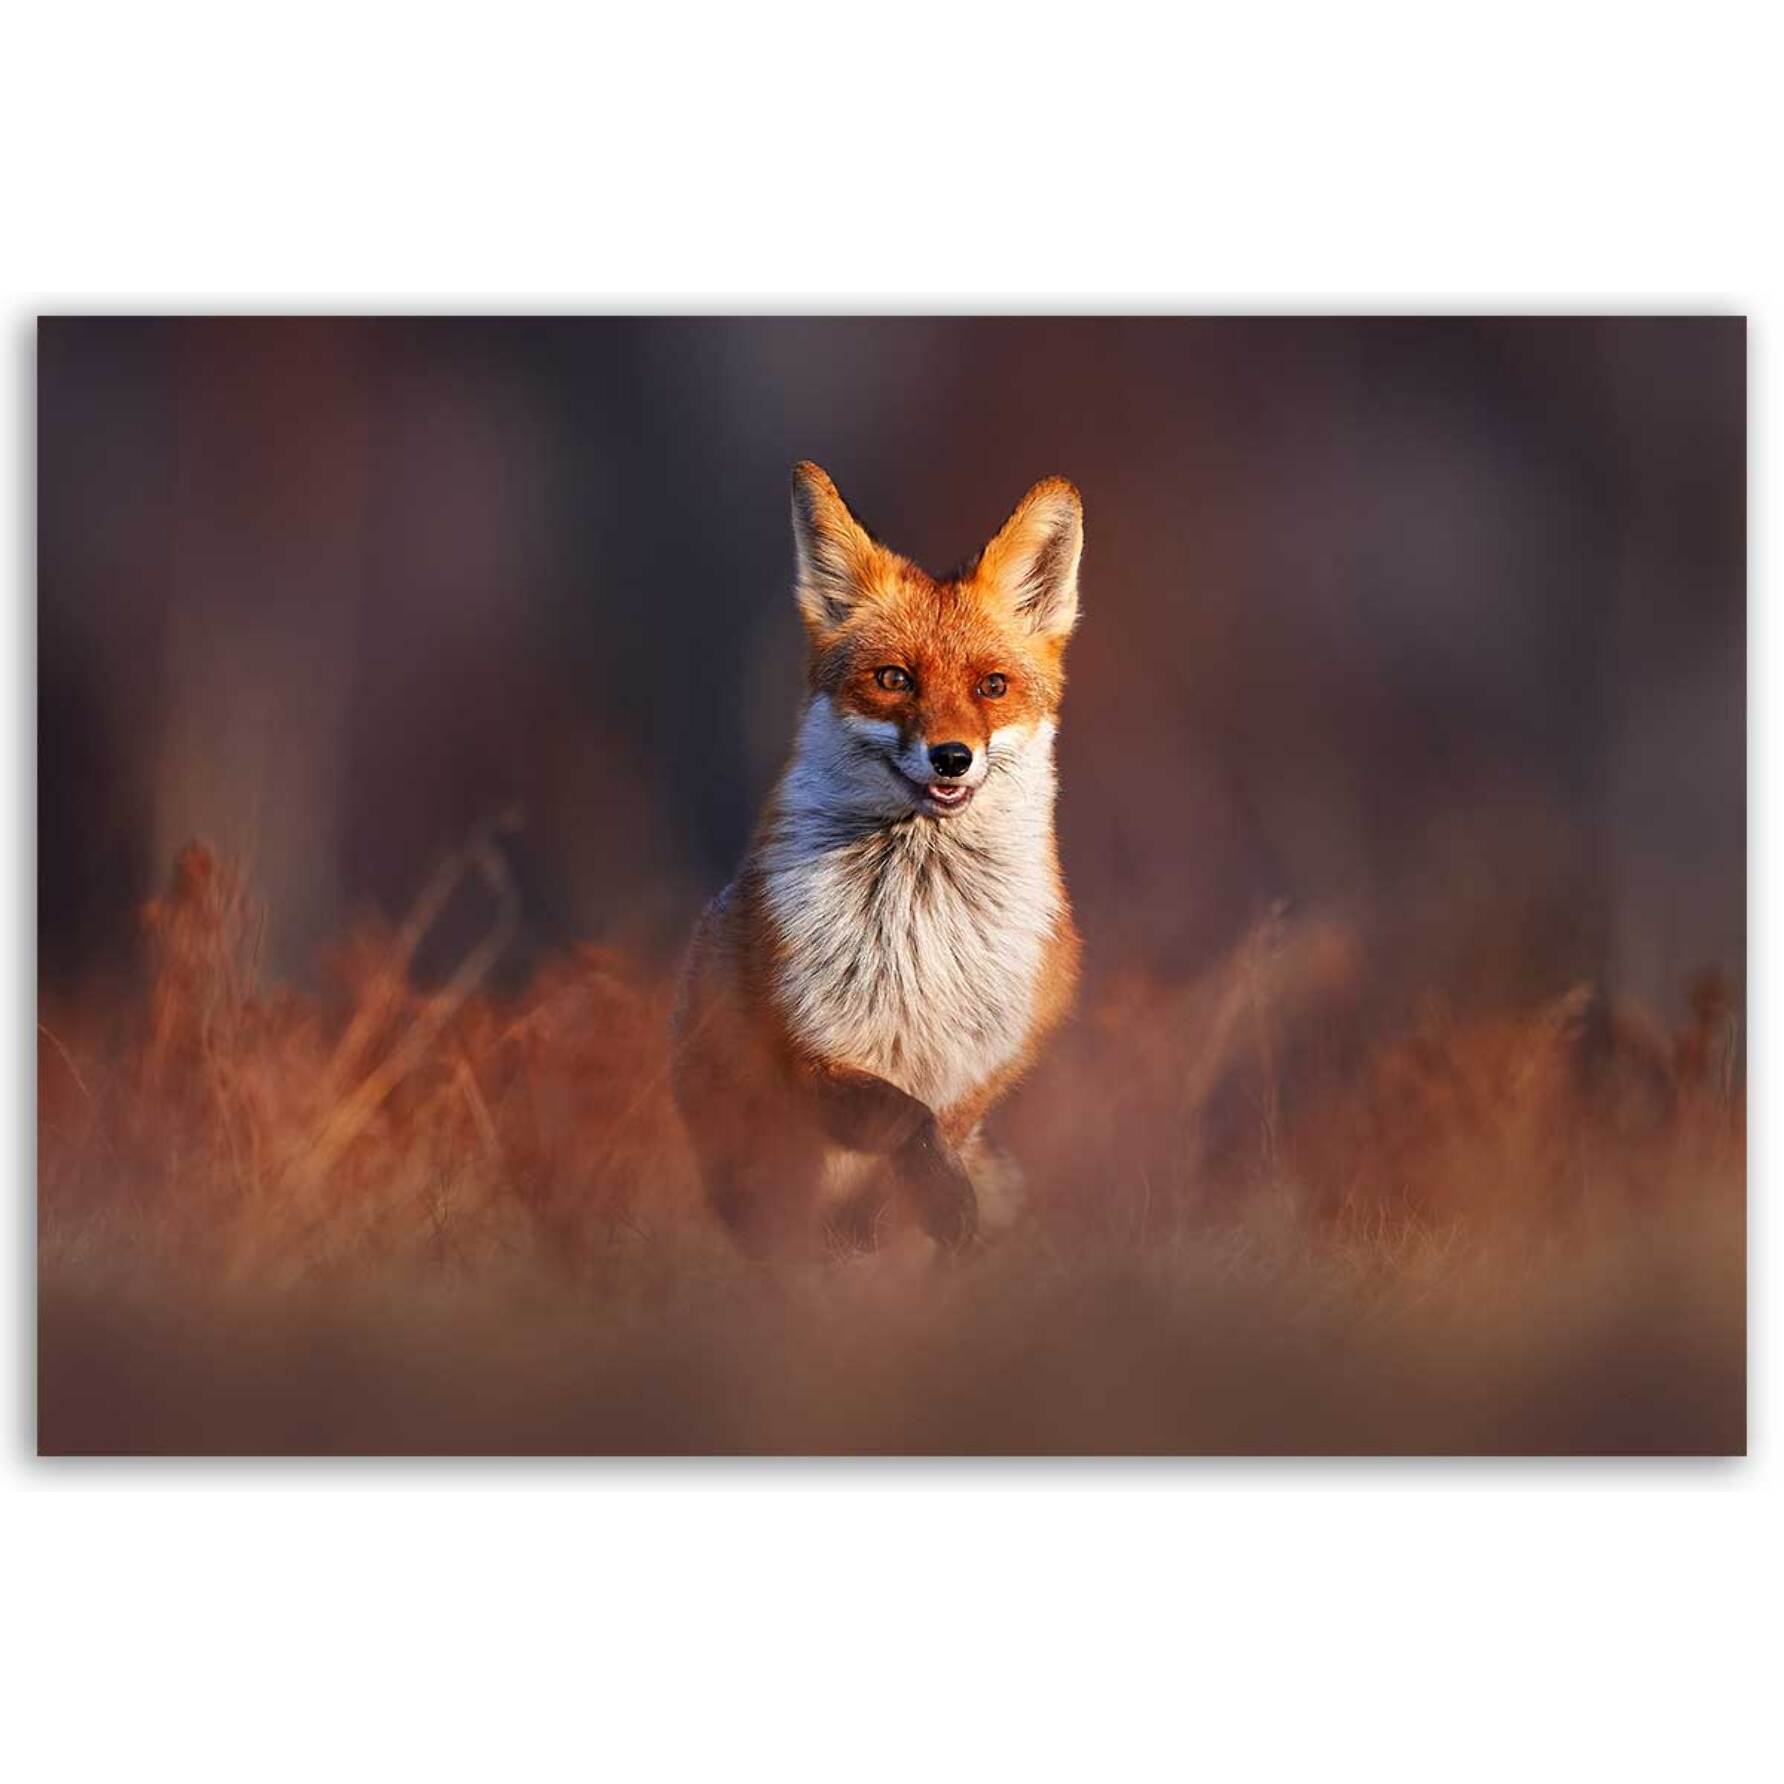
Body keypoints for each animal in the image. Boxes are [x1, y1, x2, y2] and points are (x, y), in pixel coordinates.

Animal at [670, 462, 1084, 1255]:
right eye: (894, 679)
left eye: (992, 686)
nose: (952, 757)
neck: (921, 936)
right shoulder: (806, 1054)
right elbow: (900, 1119)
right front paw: (939, 1203)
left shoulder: (980, 1074)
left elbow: (923, 1153)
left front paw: (921, 1221)